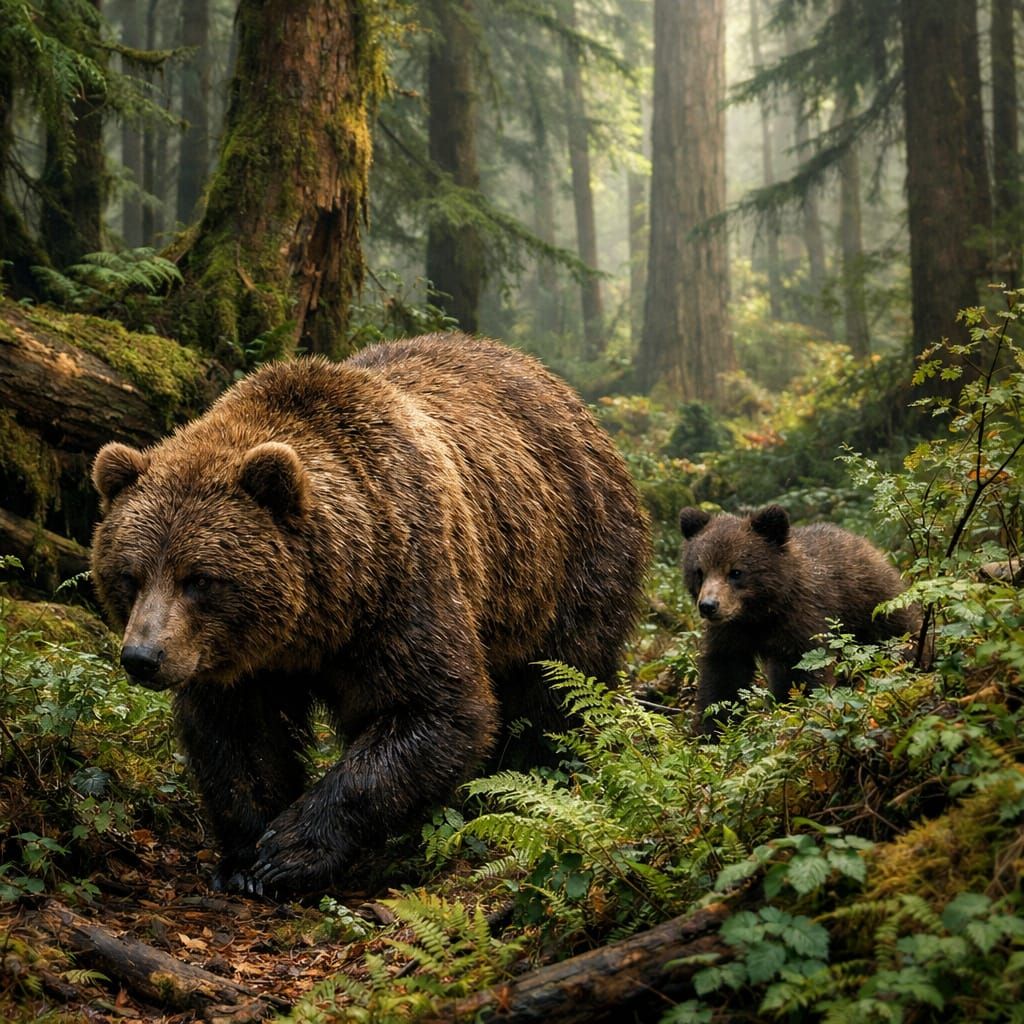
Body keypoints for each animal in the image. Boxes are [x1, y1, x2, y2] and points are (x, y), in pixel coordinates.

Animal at [90, 333, 650, 896]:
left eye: (200, 578)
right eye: (130, 575)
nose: (143, 657)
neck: (319, 615)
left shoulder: (403, 589)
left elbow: (439, 710)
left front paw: (289, 850)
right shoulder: (236, 658)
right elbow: (239, 736)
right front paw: (246, 858)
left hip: (567, 564)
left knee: (557, 686)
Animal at [678, 504, 919, 734]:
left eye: (736, 571)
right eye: (700, 571)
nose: (709, 606)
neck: (760, 614)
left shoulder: (802, 622)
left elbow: (803, 675)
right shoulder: (730, 633)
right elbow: (723, 679)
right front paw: (711, 729)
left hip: (876, 611)